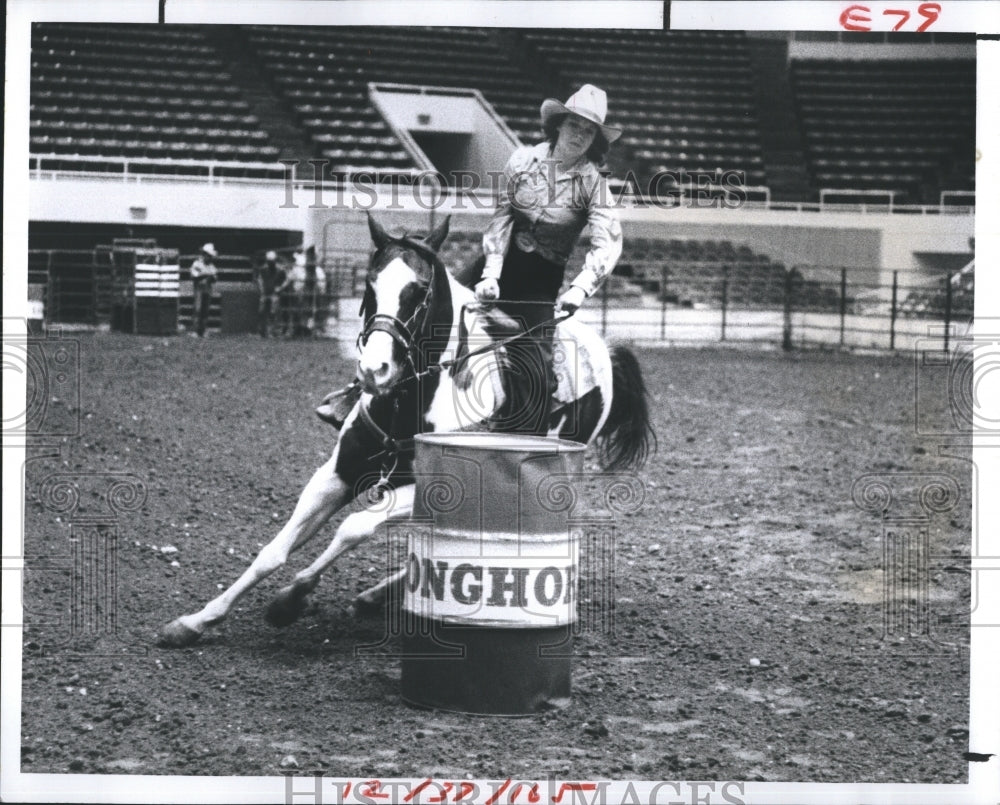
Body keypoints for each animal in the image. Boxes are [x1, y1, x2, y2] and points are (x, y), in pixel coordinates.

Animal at [158, 214, 656, 648]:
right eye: (368, 285)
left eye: (419, 291)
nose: (374, 369)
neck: (409, 400)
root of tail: (605, 350)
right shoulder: (335, 473)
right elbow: (273, 550)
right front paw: (195, 621)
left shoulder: (431, 485)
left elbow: (353, 527)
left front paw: (291, 599)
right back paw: (375, 596)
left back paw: (376, 595)